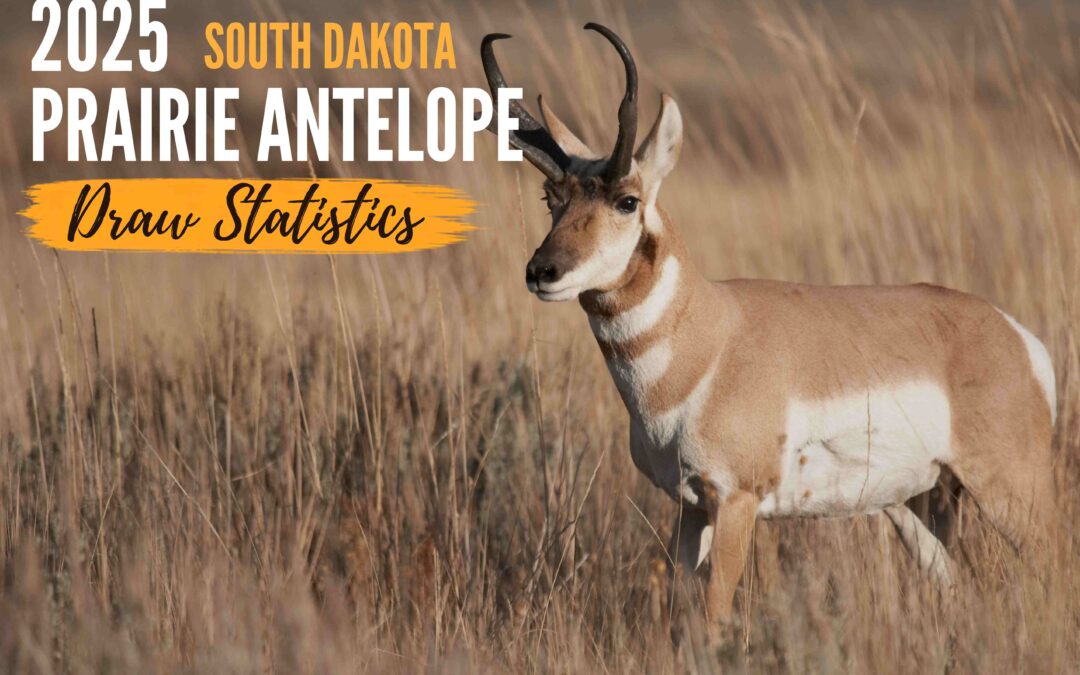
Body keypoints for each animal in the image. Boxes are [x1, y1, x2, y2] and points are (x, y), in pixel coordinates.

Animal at [481, 24, 1058, 624]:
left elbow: (714, 614)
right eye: (552, 198)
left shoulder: (737, 501)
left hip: (1013, 491)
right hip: (918, 504)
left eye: (627, 200)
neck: (709, 336)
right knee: (953, 581)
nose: (542, 271)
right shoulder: (690, 508)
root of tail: (1013, 334)